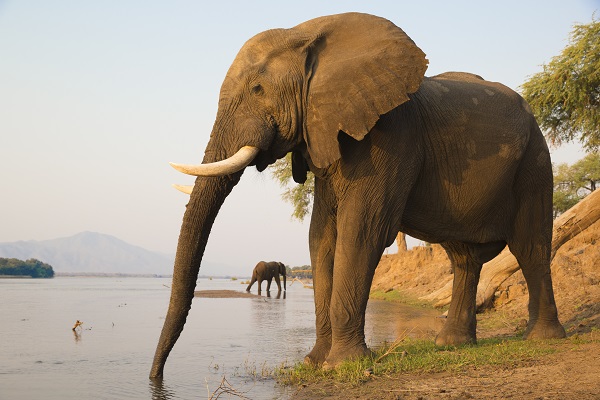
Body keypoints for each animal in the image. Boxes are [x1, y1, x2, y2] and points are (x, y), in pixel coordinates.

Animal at [148, 10, 564, 378]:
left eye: (257, 89)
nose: (156, 378)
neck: (308, 34)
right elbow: (321, 237)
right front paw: (314, 363)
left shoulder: (391, 136)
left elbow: (361, 232)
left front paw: (342, 365)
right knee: (464, 258)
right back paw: (452, 345)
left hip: (534, 162)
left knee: (530, 246)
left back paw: (542, 339)